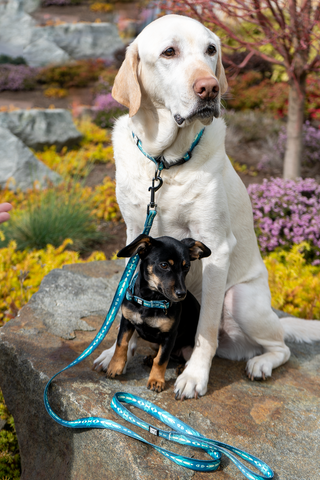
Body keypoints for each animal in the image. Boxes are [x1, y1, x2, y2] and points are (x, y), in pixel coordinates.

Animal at [105, 233, 210, 394]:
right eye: (164, 265)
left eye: (186, 267)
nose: (182, 294)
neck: (151, 300)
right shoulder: (127, 320)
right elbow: (121, 343)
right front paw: (115, 366)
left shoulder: (169, 335)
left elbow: (161, 360)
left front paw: (156, 381)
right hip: (153, 343)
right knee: (165, 355)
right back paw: (150, 359)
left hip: (188, 347)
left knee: (181, 359)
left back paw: (181, 368)